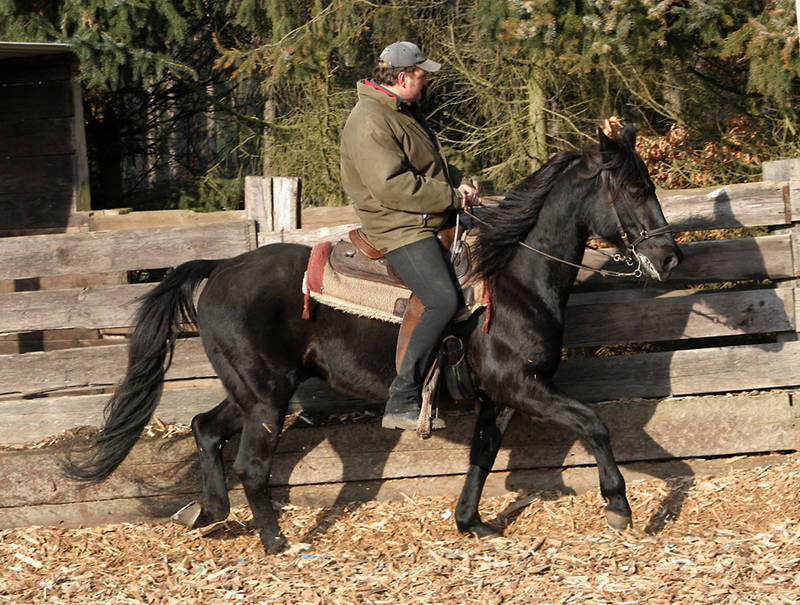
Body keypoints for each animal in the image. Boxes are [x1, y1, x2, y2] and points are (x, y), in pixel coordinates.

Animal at [67, 126, 680, 552]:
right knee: (252, 466)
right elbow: (593, 423)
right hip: (266, 397)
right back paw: (277, 542)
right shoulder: (521, 386)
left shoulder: (502, 397)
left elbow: (483, 456)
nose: (670, 255)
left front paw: (471, 523)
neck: (512, 278)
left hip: (252, 392)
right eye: (633, 187)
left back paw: (209, 513)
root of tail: (219, 268)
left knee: (204, 428)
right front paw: (619, 506)